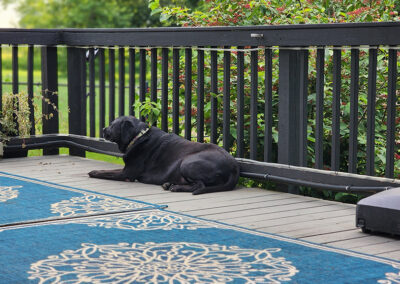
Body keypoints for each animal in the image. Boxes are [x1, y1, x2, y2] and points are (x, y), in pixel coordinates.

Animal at [89, 116, 239, 195]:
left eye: (112, 125)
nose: (103, 129)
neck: (138, 137)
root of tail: (234, 167)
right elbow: (109, 170)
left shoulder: (127, 173)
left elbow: (106, 173)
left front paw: (93, 172)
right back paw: (169, 184)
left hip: (187, 163)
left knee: (200, 186)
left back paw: (175, 187)